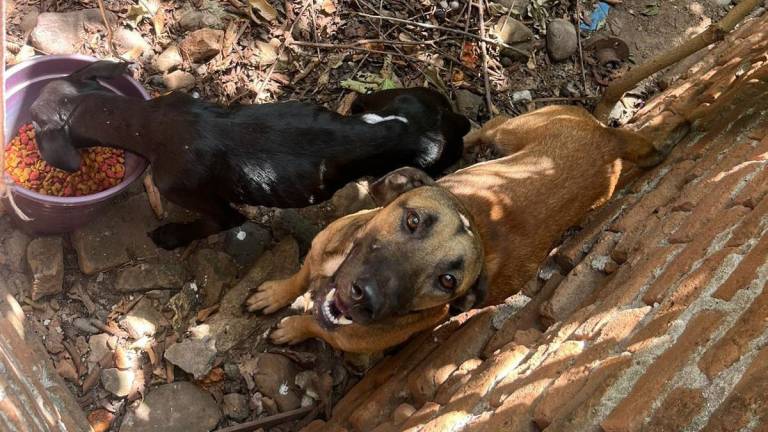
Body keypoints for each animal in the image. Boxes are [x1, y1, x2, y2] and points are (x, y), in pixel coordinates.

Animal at [30, 61, 472, 250]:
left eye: (34, 125)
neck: (146, 121)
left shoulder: (205, 202)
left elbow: (215, 223)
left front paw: (171, 237)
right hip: (385, 97)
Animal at [246, 106, 660, 352]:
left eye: (447, 281)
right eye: (413, 221)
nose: (365, 297)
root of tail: (610, 139)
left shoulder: (343, 334)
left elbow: (314, 325)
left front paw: (294, 328)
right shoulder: (319, 253)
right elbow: (298, 278)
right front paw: (275, 294)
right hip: (514, 132)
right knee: (490, 125)